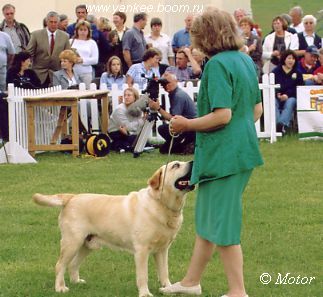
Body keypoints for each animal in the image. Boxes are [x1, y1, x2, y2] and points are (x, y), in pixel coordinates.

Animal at [33, 161, 195, 294]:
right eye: (176, 165)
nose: (193, 162)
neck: (161, 204)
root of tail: (71, 197)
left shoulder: (162, 249)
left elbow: (164, 272)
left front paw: (168, 288)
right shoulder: (142, 250)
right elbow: (143, 276)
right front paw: (145, 293)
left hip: (87, 244)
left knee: (72, 264)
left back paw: (76, 282)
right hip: (72, 242)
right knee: (60, 265)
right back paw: (60, 287)